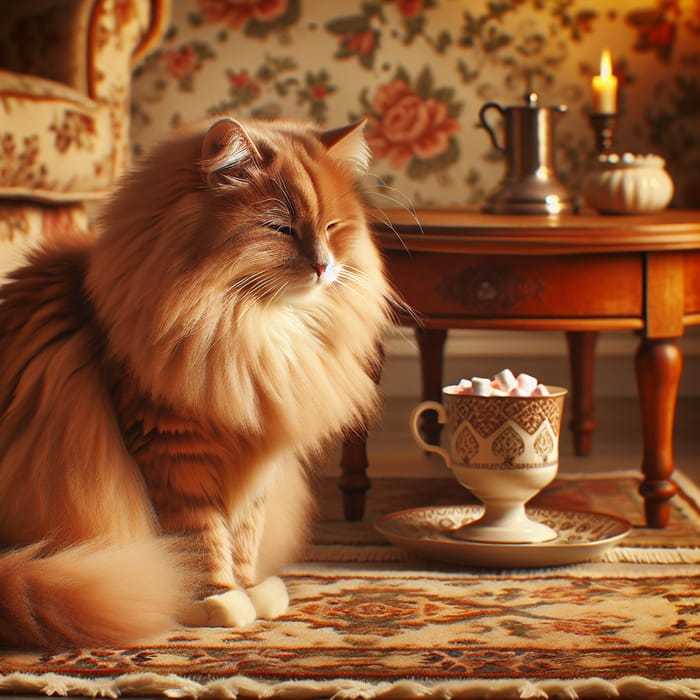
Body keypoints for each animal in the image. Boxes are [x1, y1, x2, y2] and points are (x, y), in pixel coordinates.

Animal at [0, 116, 394, 652]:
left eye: (333, 228)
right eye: (281, 228)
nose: (323, 265)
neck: (249, 329)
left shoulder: (257, 454)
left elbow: (243, 535)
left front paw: (252, 589)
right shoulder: (172, 451)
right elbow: (200, 538)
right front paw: (216, 600)